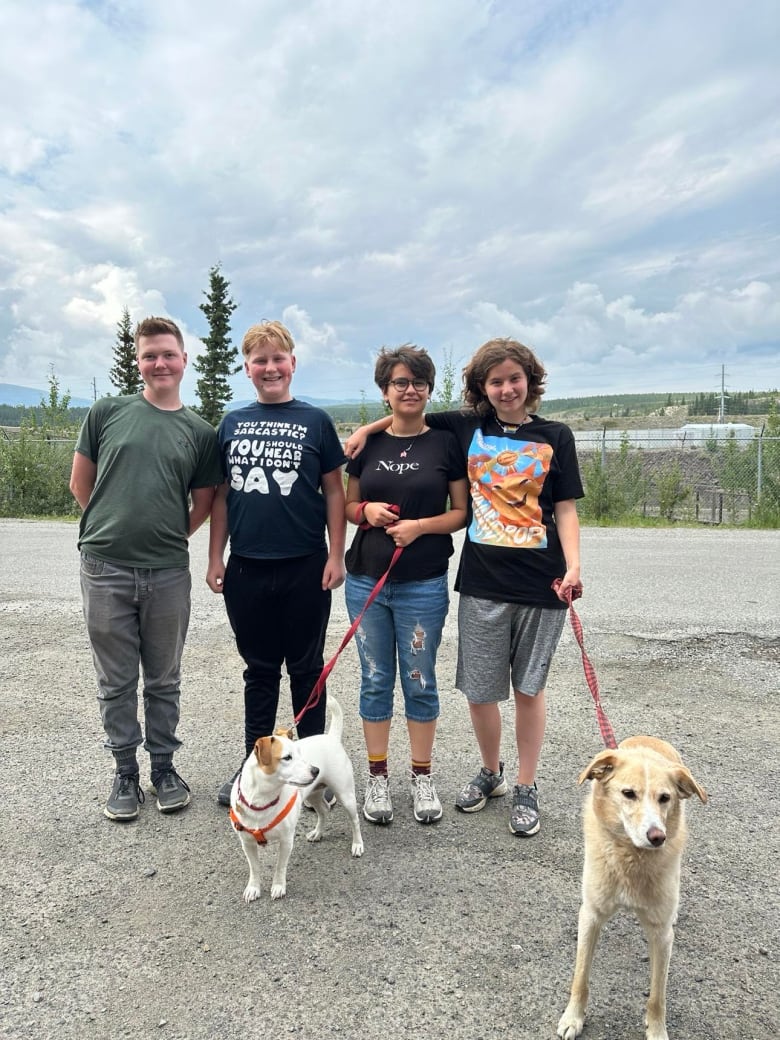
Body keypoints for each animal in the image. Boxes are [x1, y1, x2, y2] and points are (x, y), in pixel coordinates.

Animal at [228, 698, 364, 902]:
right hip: (314, 794)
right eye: (287, 757)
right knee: (323, 810)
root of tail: (331, 737)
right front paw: (253, 888)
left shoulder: (286, 840)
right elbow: (254, 868)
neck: (263, 799)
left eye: (301, 754)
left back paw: (357, 844)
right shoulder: (247, 843)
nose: (315, 770)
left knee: (354, 821)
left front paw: (278, 886)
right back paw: (318, 833)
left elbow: (279, 867)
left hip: (345, 795)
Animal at [557, 736, 707, 1040]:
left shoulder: (661, 934)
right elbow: (580, 977)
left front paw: (657, 1031)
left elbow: (657, 996)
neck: (630, 856)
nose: (657, 837)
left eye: (665, 798)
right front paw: (573, 1017)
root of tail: (648, 738)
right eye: (628, 793)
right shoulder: (590, 916)